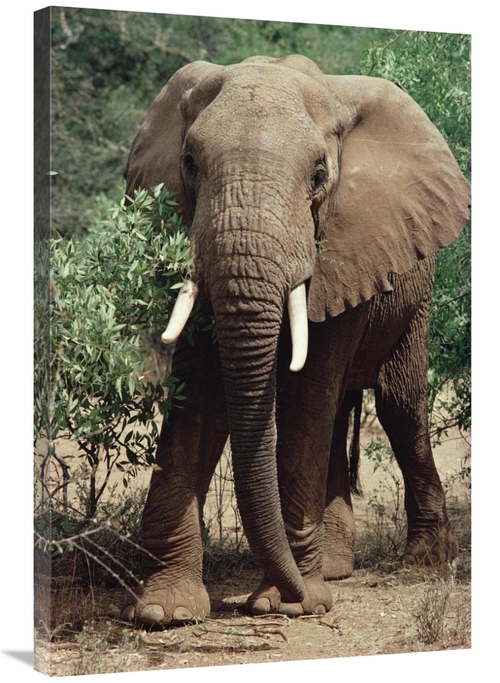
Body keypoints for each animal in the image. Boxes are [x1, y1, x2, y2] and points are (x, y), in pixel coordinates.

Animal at [120, 54, 470, 627]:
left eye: (320, 176)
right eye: (189, 163)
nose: (298, 597)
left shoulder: (348, 246)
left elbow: (307, 395)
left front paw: (288, 604)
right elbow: (201, 394)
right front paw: (164, 611)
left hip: (417, 290)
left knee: (397, 406)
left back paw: (422, 562)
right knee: (339, 414)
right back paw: (335, 570)